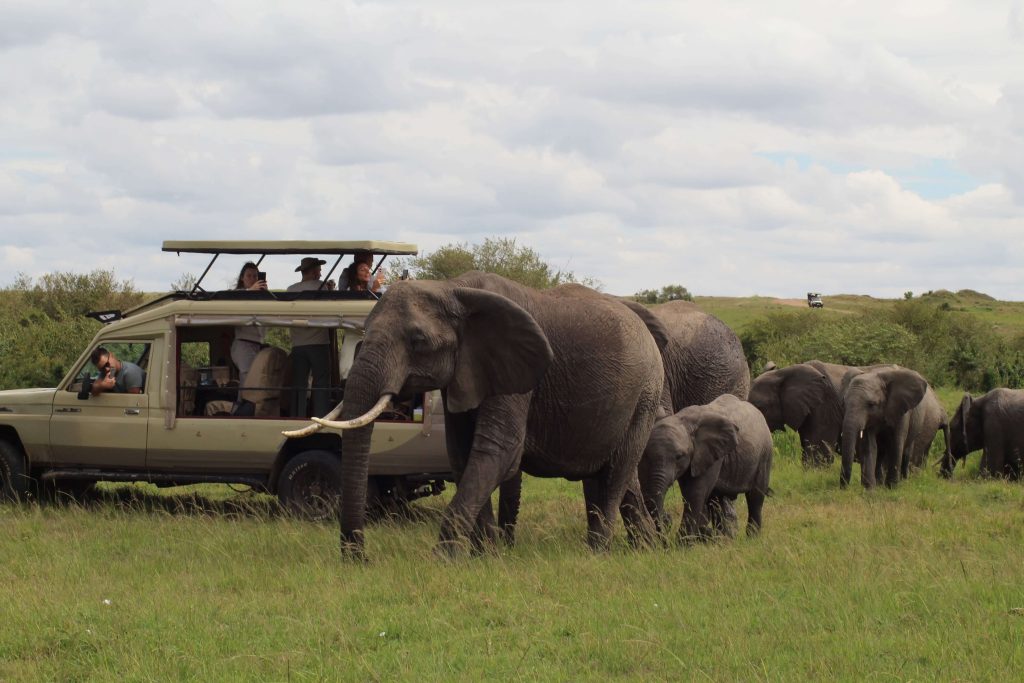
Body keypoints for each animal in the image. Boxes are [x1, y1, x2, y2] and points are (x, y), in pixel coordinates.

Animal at [285, 272, 665, 559]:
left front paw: (443, 560)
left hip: (645, 395)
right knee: (614, 474)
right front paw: (485, 557)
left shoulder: (516, 372)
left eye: (419, 341)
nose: (359, 558)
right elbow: (462, 454)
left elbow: (498, 451)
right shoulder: (467, 372)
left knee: (616, 473)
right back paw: (646, 550)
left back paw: (597, 553)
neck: (452, 288)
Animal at [638, 394, 773, 541]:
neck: (683, 420)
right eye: (645, 455)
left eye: (679, 456)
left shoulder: (710, 455)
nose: (668, 520)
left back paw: (751, 538)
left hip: (764, 454)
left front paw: (683, 543)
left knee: (755, 497)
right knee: (716, 500)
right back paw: (723, 539)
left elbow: (694, 493)